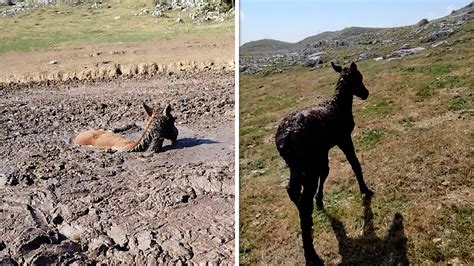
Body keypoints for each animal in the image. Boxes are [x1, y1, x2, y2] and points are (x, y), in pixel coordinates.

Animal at [274, 62, 374, 264]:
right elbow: (354, 163)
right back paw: (311, 253)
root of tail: (283, 141)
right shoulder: (343, 139)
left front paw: (320, 200)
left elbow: (326, 170)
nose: (365, 93)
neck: (340, 106)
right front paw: (365, 190)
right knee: (304, 200)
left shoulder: (323, 150)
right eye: (359, 77)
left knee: (292, 190)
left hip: (296, 165)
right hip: (306, 164)